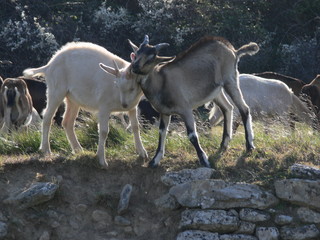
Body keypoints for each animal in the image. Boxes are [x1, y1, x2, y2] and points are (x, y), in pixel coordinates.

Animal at [24, 41, 148, 169]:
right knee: (47, 117)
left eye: (132, 87)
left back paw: (78, 149)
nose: (124, 105)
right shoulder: (104, 107)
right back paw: (46, 150)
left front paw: (142, 153)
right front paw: (101, 160)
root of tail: (49, 66)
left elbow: (135, 127)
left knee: (67, 122)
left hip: (72, 99)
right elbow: (103, 131)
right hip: (56, 89)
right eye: (117, 85)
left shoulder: (133, 107)